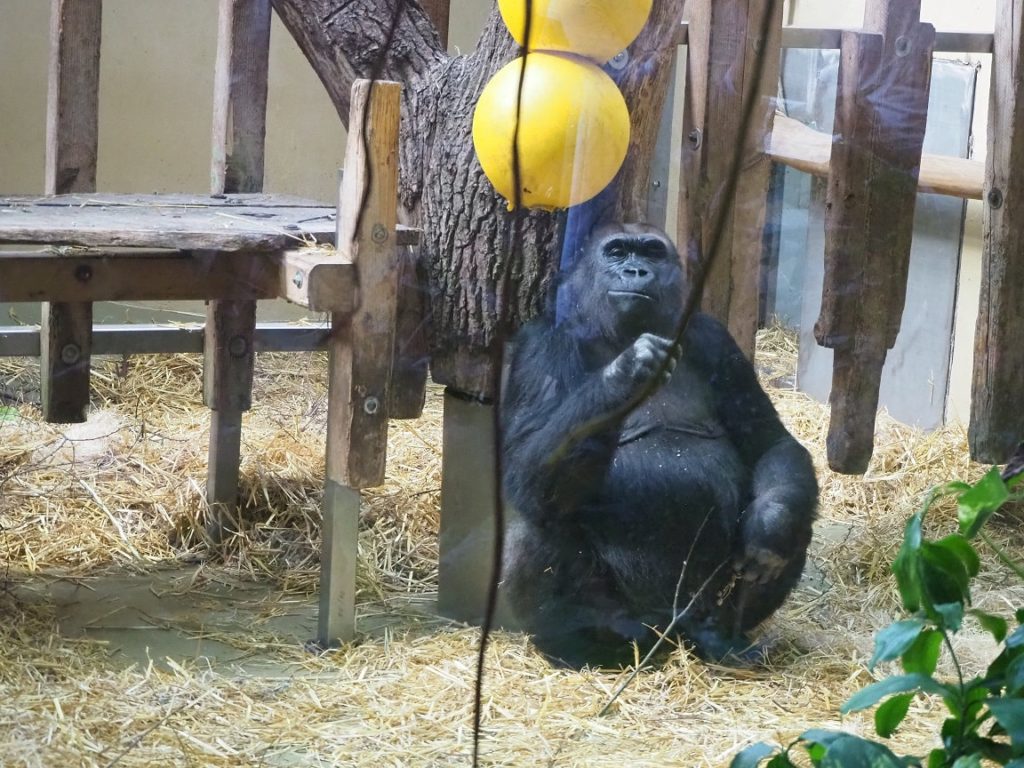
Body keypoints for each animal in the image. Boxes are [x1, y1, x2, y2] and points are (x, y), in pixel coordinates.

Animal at [499, 221, 819, 667]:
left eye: (651, 252)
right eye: (616, 252)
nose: (635, 272)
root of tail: (670, 627)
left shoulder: (716, 340)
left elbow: (769, 443)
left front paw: (768, 528)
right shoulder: (539, 344)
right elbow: (523, 469)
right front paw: (627, 372)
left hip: (694, 609)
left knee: (796, 518)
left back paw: (722, 637)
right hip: (637, 620)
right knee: (534, 527)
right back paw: (583, 648)